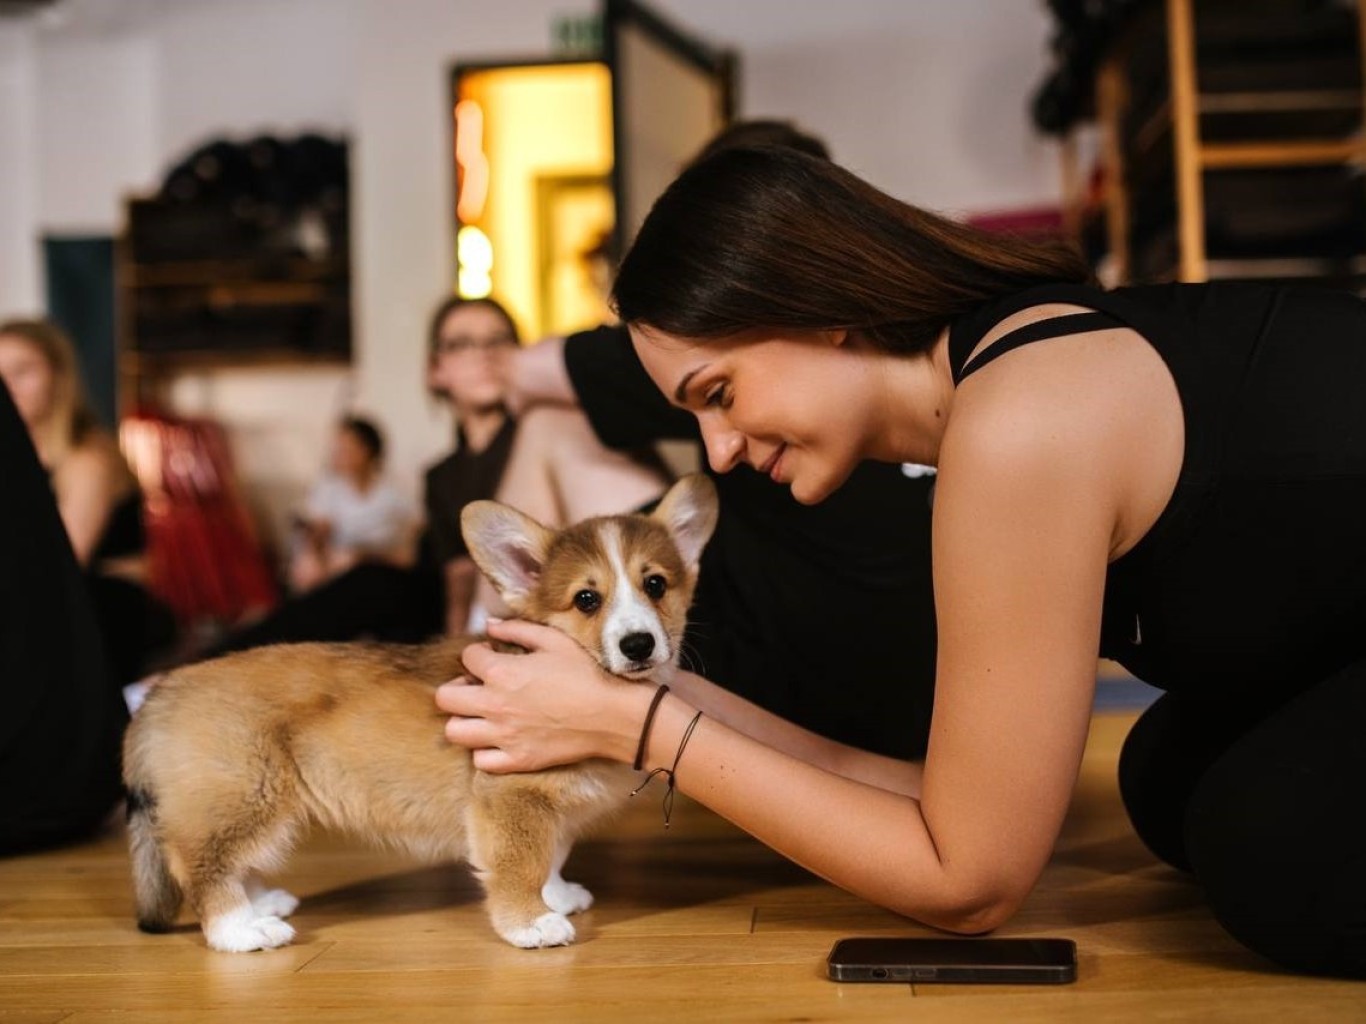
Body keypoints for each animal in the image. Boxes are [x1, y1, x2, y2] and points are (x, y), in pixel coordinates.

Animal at [122, 472, 721, 955]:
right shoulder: (509, 797)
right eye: (587, 600)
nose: (639, 645)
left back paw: (260, 904)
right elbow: (521, 861)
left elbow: (552, 854)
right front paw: (531, 922)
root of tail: (163, 691)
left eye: (655, 584)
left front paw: (557, 896)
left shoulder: (545, 808)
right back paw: (241, 931)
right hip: (246, 794)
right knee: (200, 865)